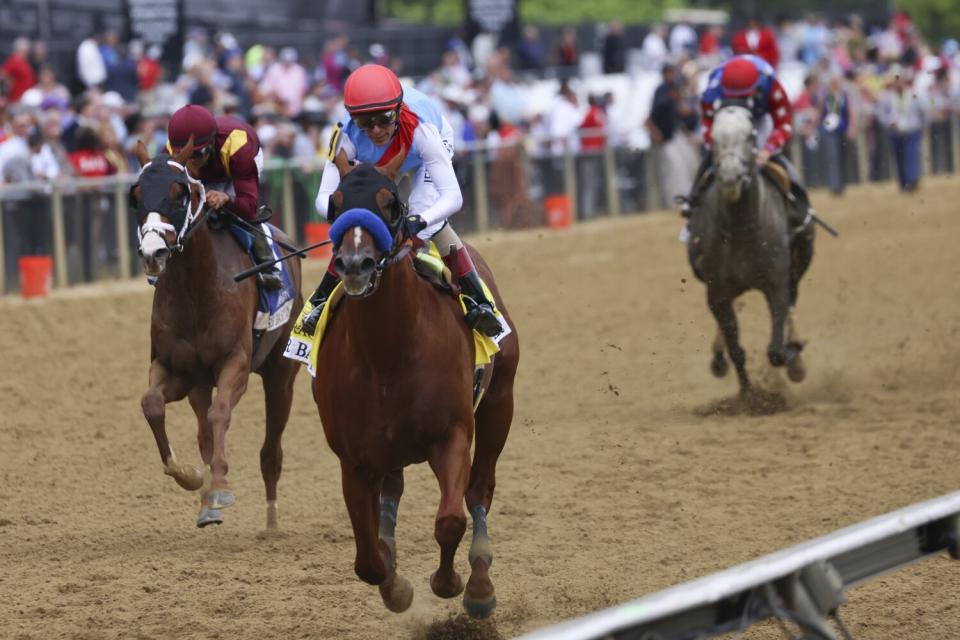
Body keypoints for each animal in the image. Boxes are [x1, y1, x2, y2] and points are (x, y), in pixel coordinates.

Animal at [131, 142, 302, 528]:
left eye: (180, 193)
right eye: (136, 195)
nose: (153, 253)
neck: (195, 289)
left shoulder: (235, 361)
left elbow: (221, 412)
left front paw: (221, 485)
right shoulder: (175, 369)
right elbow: (152, 405)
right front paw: (191, 477)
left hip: (281, 373)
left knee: (271, 449)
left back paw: (271, 520)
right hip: (199, 383)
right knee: (203, 432)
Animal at [316, 152, 516, 616]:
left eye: (390, 204)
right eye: (334, 205)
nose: (355, 264)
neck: (387, 354)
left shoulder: (452, 433)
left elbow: (450, 520)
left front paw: (451, 583)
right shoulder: (353, 458)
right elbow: (368, 560)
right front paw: (396, 585)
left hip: (500, 403)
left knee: (479, 490)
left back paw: (480, 582)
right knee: (394, 490)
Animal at [688, 106, 812, 390]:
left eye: (749, 136)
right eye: (714, 139)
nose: (730, 177)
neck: (741, 230)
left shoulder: (777, 285)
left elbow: (776, 351)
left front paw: (794, 356)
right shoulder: (716, 292)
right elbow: (737, 350)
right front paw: (748, 394)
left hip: (798, 267)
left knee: (792, 305)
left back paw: (796, 360)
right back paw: (718, 358)